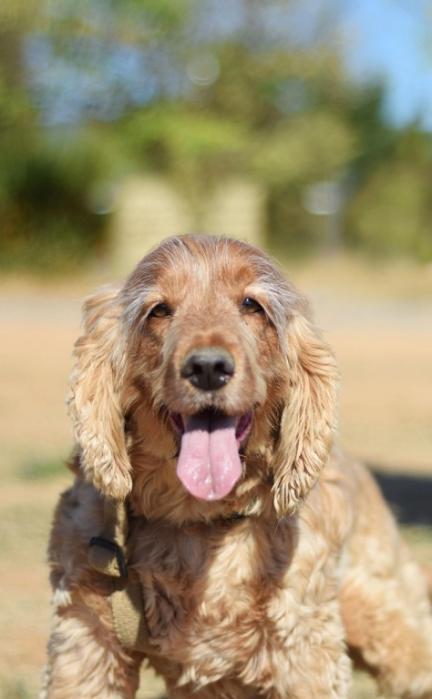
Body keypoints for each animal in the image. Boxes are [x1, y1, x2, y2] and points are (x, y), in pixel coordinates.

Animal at [42, 237, 432, 699]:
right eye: (158, 310)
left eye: (251, 305)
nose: (208, 366)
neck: (200, 521)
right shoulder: (86, 639)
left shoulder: (305, 649)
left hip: (386, 618)